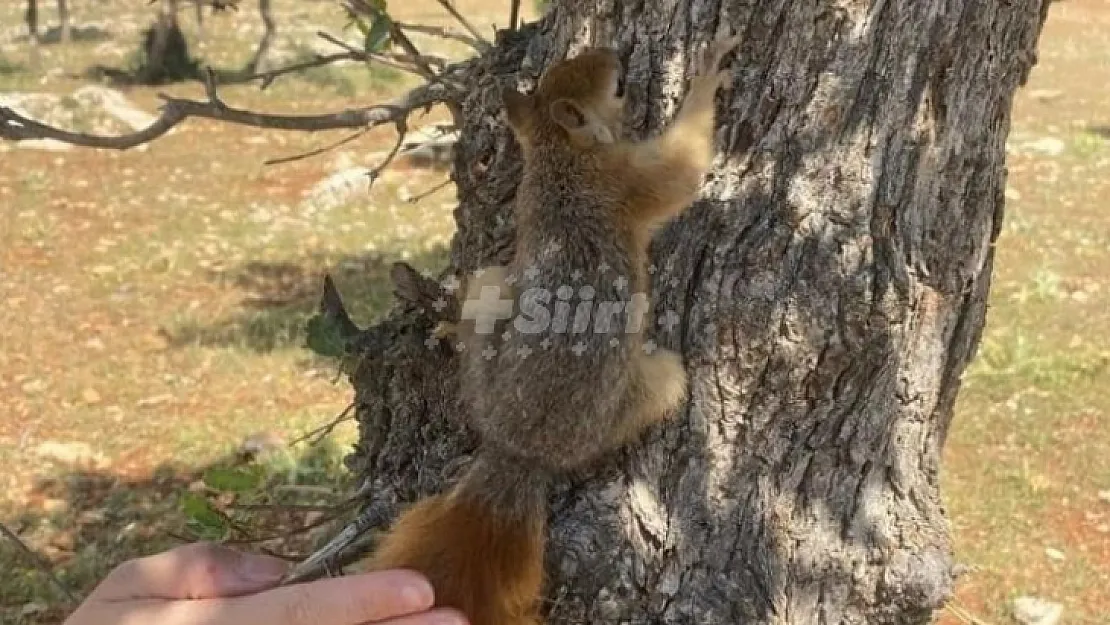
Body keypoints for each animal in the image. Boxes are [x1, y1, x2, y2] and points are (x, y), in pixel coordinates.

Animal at [364, 34, 741, 625]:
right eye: (617, 87)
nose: (615, 54)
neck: (557, 153)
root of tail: (517, 452)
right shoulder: (628, 180)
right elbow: (681, 172)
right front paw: (705, 75)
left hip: (490, 299)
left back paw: (452, 327)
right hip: (652, 385)